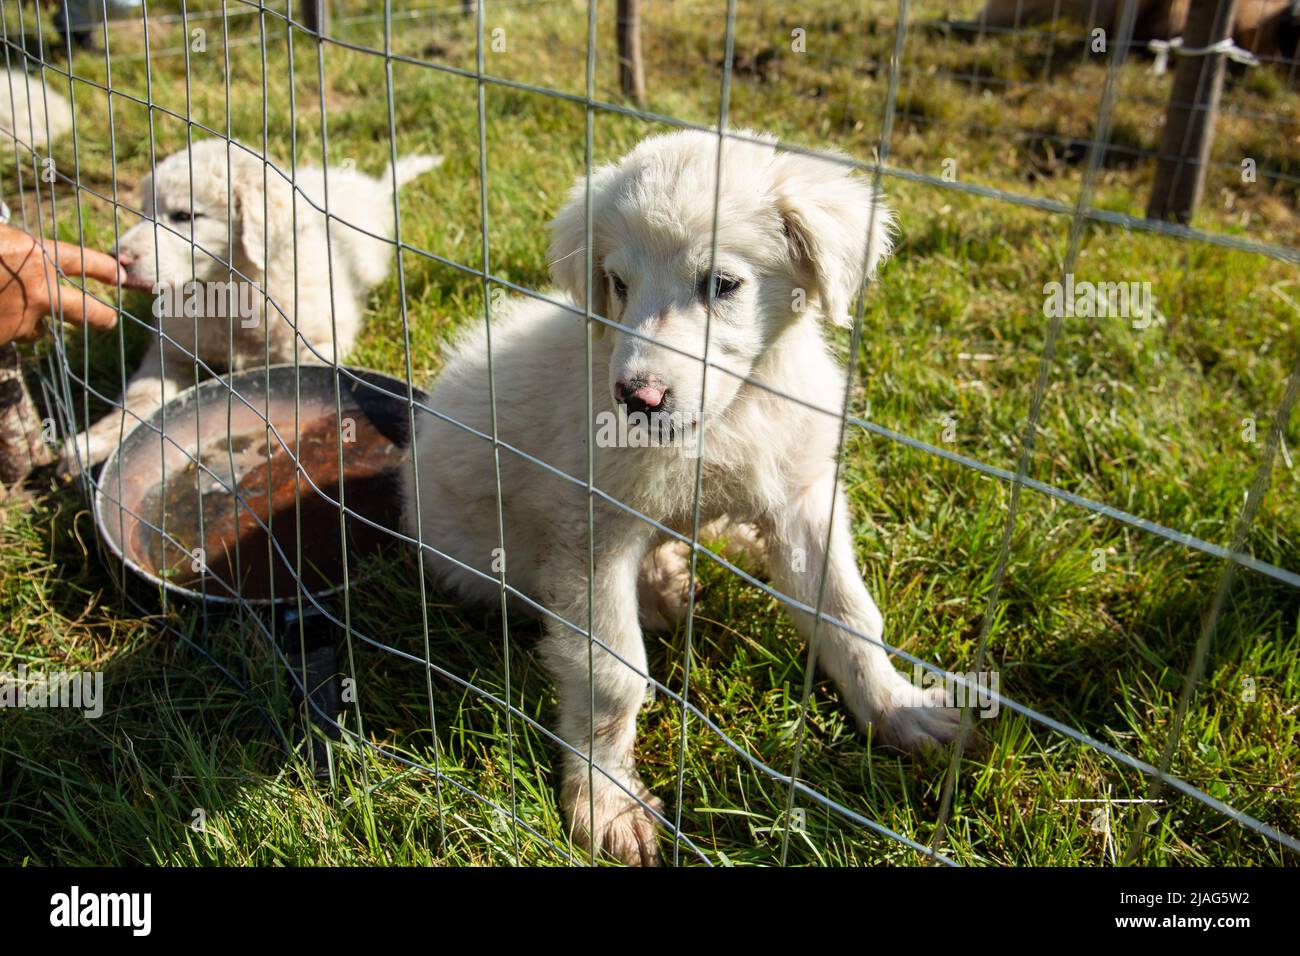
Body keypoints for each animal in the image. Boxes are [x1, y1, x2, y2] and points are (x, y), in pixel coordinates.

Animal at [400, 128, 961, 868]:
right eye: (617, 283)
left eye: (721, 284)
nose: (637, 397)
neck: (731, 417)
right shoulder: (592, 538)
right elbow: (611, 676)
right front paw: (606, 802)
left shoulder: (801, 501)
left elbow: (849, 615)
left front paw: (898, 709)